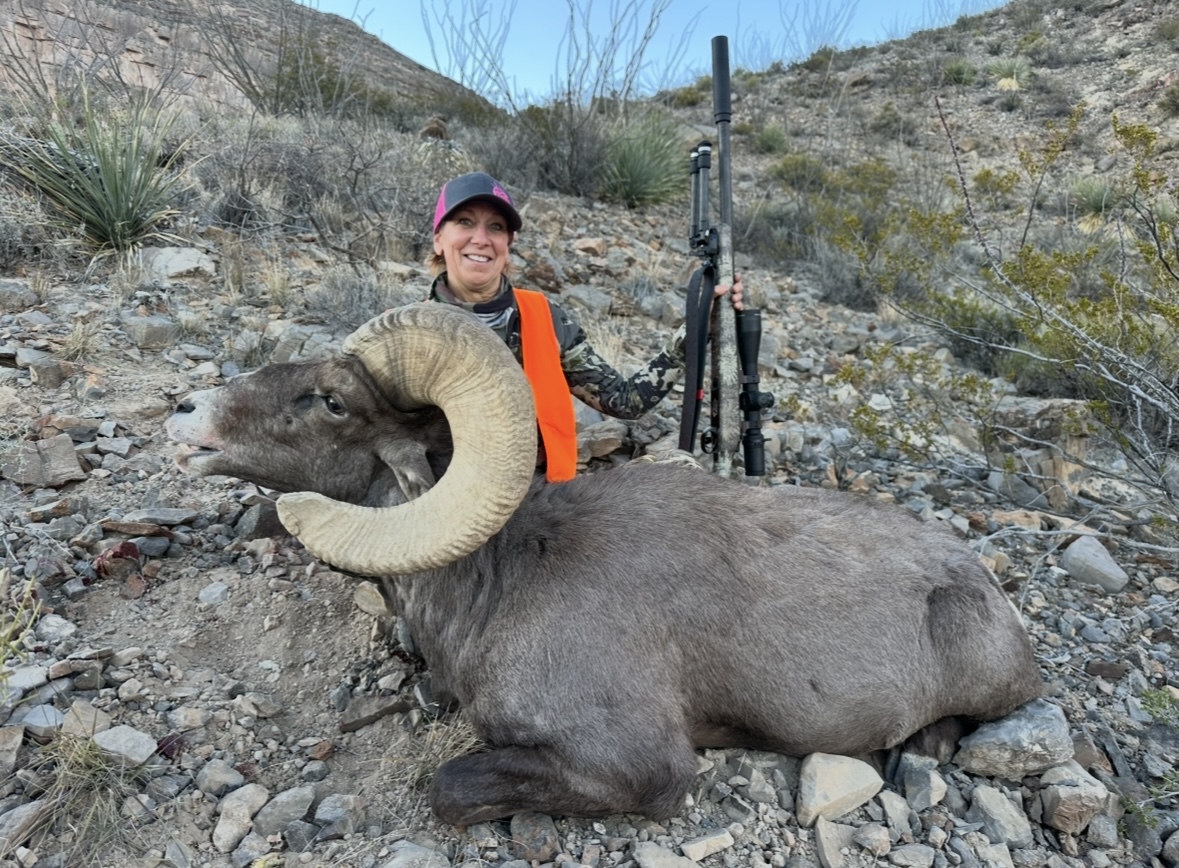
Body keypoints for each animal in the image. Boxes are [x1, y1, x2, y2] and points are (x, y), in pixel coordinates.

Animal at [166, 303, 1042, 827]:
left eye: (331, 400)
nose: (185, 411)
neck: (498, 581)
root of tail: (978, 585)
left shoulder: (637, 767)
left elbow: (448, 787)